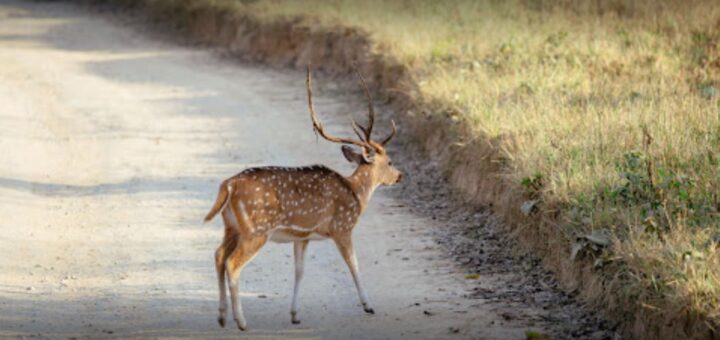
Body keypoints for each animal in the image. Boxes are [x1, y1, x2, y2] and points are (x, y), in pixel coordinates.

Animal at [205, 66, 402, 330]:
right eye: (389, 161)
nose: (400, 175)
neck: (356, 194)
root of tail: (228, 185)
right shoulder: (342, 227)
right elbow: (354, 264)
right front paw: (368, 305)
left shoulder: (302, 236)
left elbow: (299, 272)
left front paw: (295, 314)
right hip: (256, 229)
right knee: (232, 263)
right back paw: (241, 321)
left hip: (231, 226)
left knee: (218, 255)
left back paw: (222, 316)